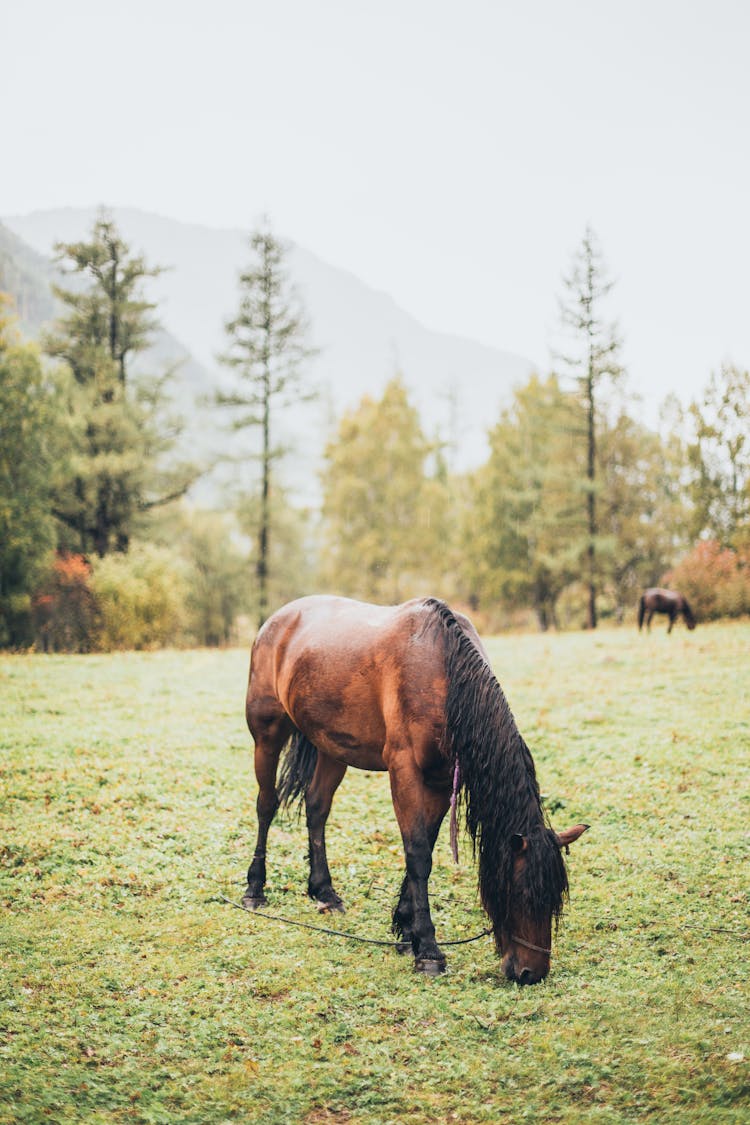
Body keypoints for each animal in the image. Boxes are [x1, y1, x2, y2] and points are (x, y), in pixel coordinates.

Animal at [244, 598, 589, 985]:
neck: (445, 674)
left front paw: (407, 929)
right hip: (267, 734)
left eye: (555, 898)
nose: (531, 972)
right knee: (266, 805)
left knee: (317, 808)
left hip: (332, 747)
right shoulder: (404, 770)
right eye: (521, 894)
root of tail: (278, 619)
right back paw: (255, 889)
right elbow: (418, 853)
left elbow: (426, 843)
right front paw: (428, 950)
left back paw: (325, 892)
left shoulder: (440, 780)